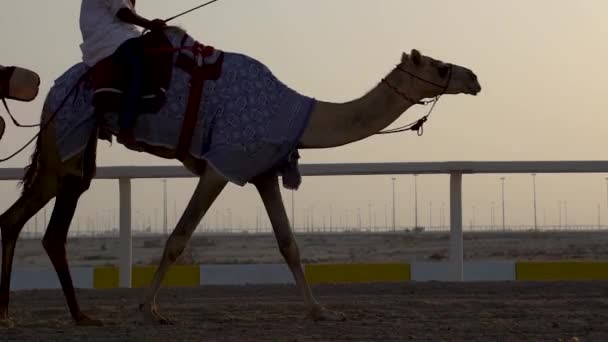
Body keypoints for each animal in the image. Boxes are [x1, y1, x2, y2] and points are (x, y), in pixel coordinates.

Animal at [0, 26, 480, 326]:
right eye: (439, 67)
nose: (473, 77)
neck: (299, 114)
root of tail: (51, 91)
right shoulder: (221, 165)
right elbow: (177, 238)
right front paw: (147, 310)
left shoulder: (264, 171)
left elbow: (289, 245)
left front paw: (321, 311)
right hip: (66, 136)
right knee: (31, 219)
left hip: (75, 146)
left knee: (27, 220)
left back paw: (31, 312)